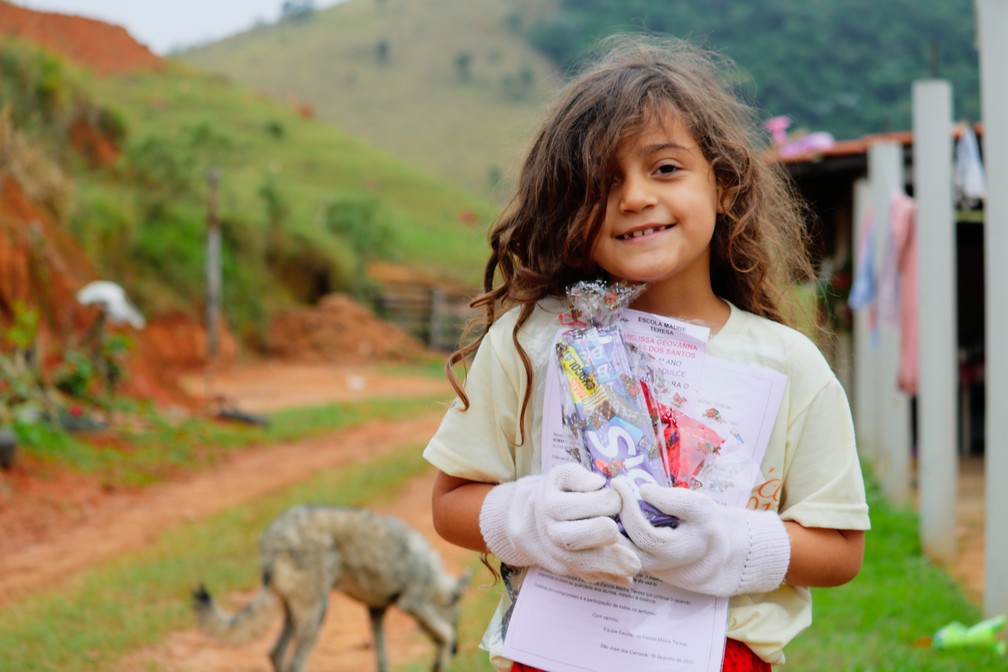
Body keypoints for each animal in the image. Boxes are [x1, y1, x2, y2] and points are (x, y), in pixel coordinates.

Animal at [193, 503, 471, 672]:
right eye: (457, 620)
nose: (458, 650)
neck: (430, 572)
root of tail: (273, 538)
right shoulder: (411, 603)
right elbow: (444, 634)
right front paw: (441, 661)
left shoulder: (376, 612)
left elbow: (382, 659)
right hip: (316, 616)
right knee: (294, 663)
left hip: (298, 614)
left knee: (275, 653)